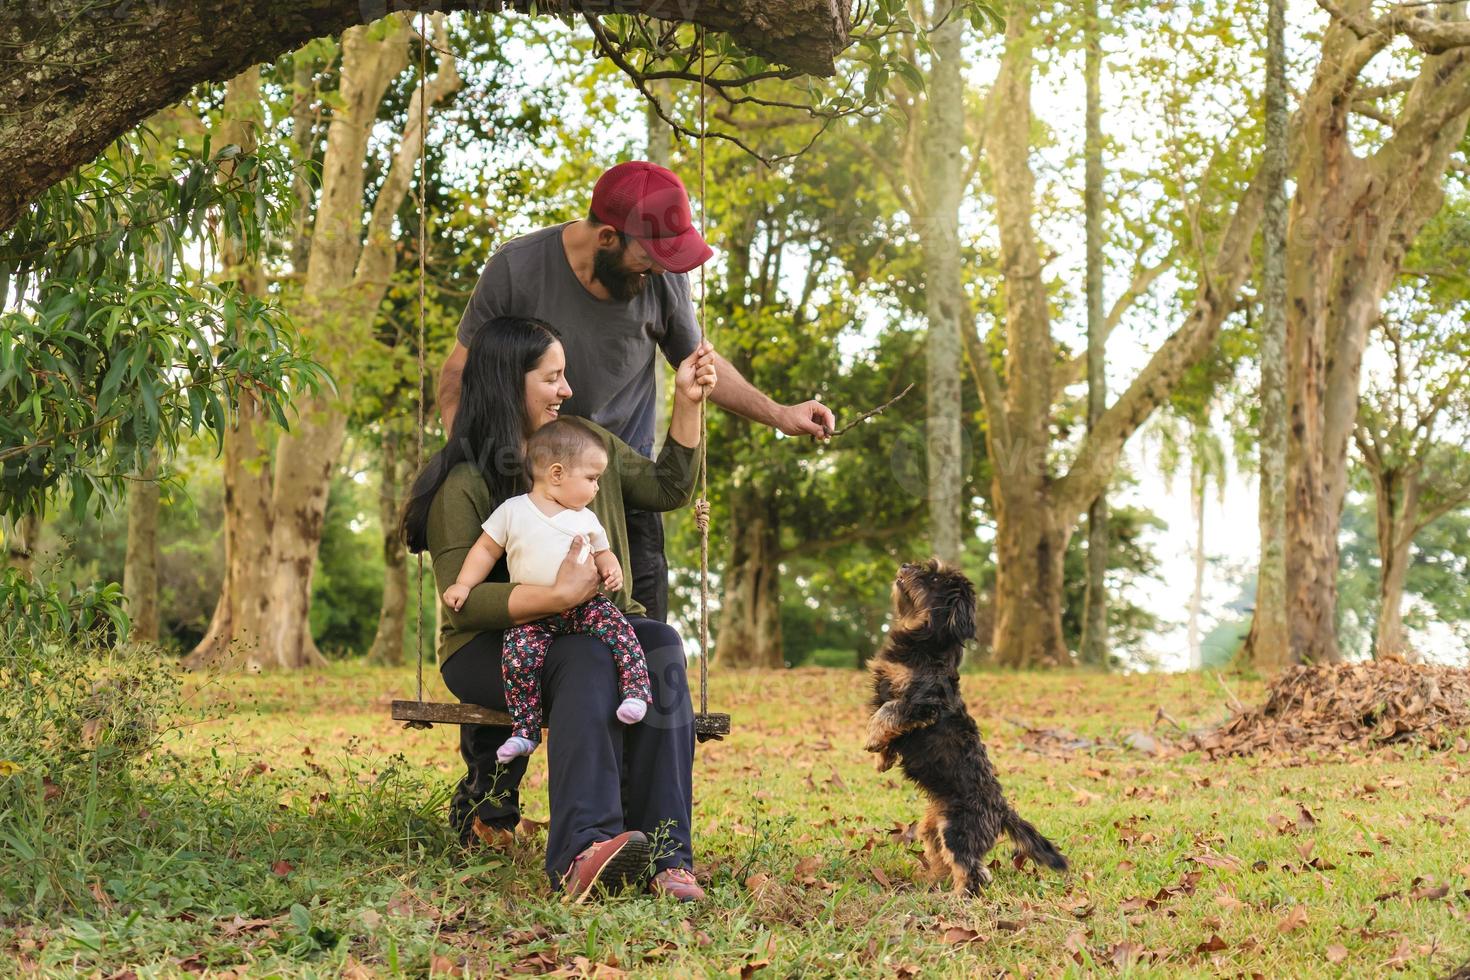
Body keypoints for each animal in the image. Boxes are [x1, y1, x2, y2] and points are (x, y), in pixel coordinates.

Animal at [858, 558, 1070, 899]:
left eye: (932, 578)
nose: (904, 564)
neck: (926, 645)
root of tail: (1001, 808)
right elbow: (886, 720)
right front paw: (883, 757)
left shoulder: (924, 703)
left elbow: (888, 711)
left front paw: (873, 739)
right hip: (933, 828)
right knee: (944, 860)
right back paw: (930, 883)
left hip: (958, 829)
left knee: (974, 871)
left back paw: (957, 898)